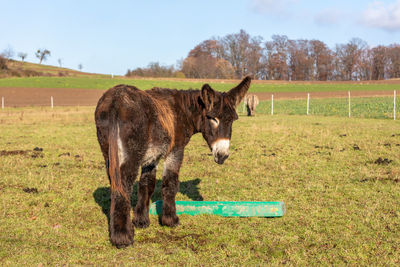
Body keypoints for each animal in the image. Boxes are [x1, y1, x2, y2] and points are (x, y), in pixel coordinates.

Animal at [94, 76, 250, 248]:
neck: (184, 111)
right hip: (130, 155)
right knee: (122, 187)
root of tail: (116, 100)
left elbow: (147, 184)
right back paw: (122, 237)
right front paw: (170, 220)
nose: (222, 156)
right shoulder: (175, 151)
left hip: (108, 152)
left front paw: (141, 221)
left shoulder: (152, 156)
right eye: (213, 119)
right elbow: (170, 183)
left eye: (233, 120)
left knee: (115, 186)